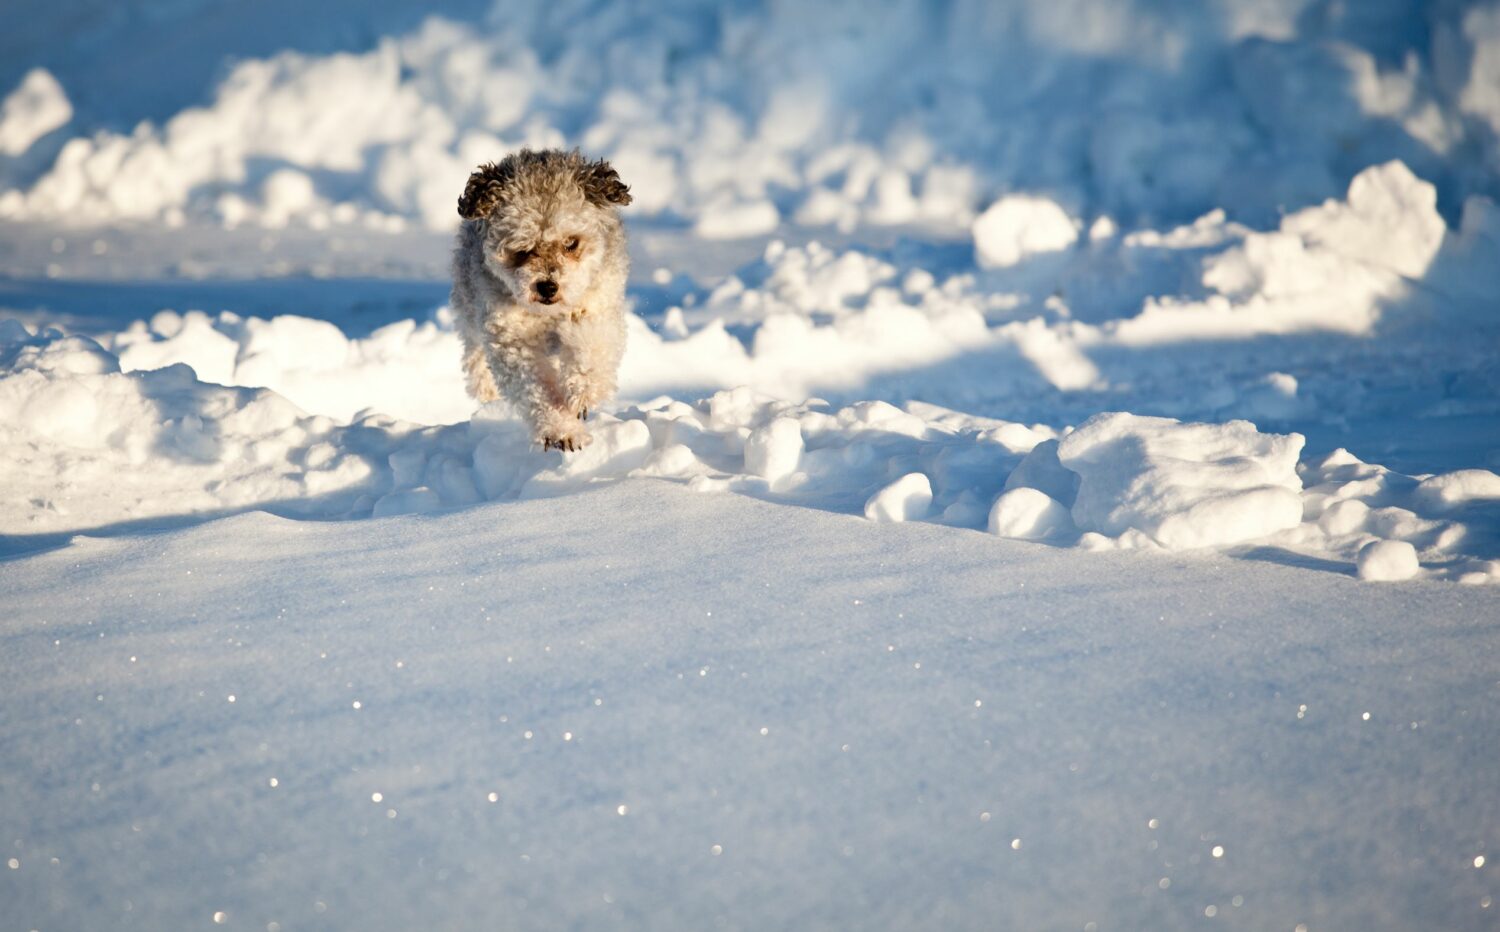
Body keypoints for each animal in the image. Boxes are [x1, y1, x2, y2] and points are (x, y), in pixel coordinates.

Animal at [447, 149, 630, 450]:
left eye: (571, 243)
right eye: (521, 249)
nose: (547, 286)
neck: (548, 315)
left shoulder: (598, 306)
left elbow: (592, 348)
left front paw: (583, 393)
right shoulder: (510, 336)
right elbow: (536, 388)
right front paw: (561, 430)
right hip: (469, 309)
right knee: (476, 360)